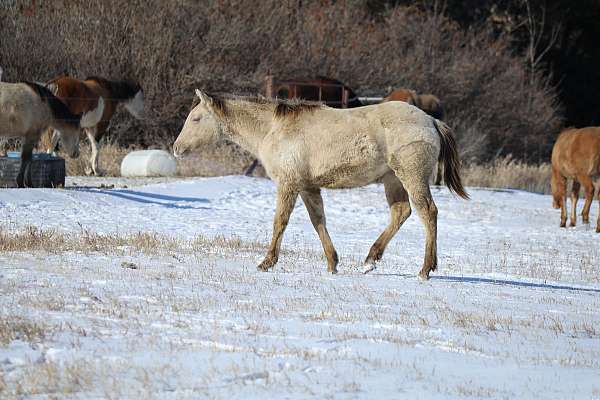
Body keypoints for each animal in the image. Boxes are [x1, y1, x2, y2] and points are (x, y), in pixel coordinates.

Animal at [173, 90, 468, 278]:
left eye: (196, 118)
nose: (176, 148)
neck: (273, 129)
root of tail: (431, 120)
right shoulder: (307, 187)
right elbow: (318, 221)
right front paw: (332, 263)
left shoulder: (289, 184)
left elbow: (280, 222)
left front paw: (266, 262)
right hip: (392, 179)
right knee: (401, 212)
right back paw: (370, 260)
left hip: (411, 175)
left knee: (427, 212)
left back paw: (425, 269)